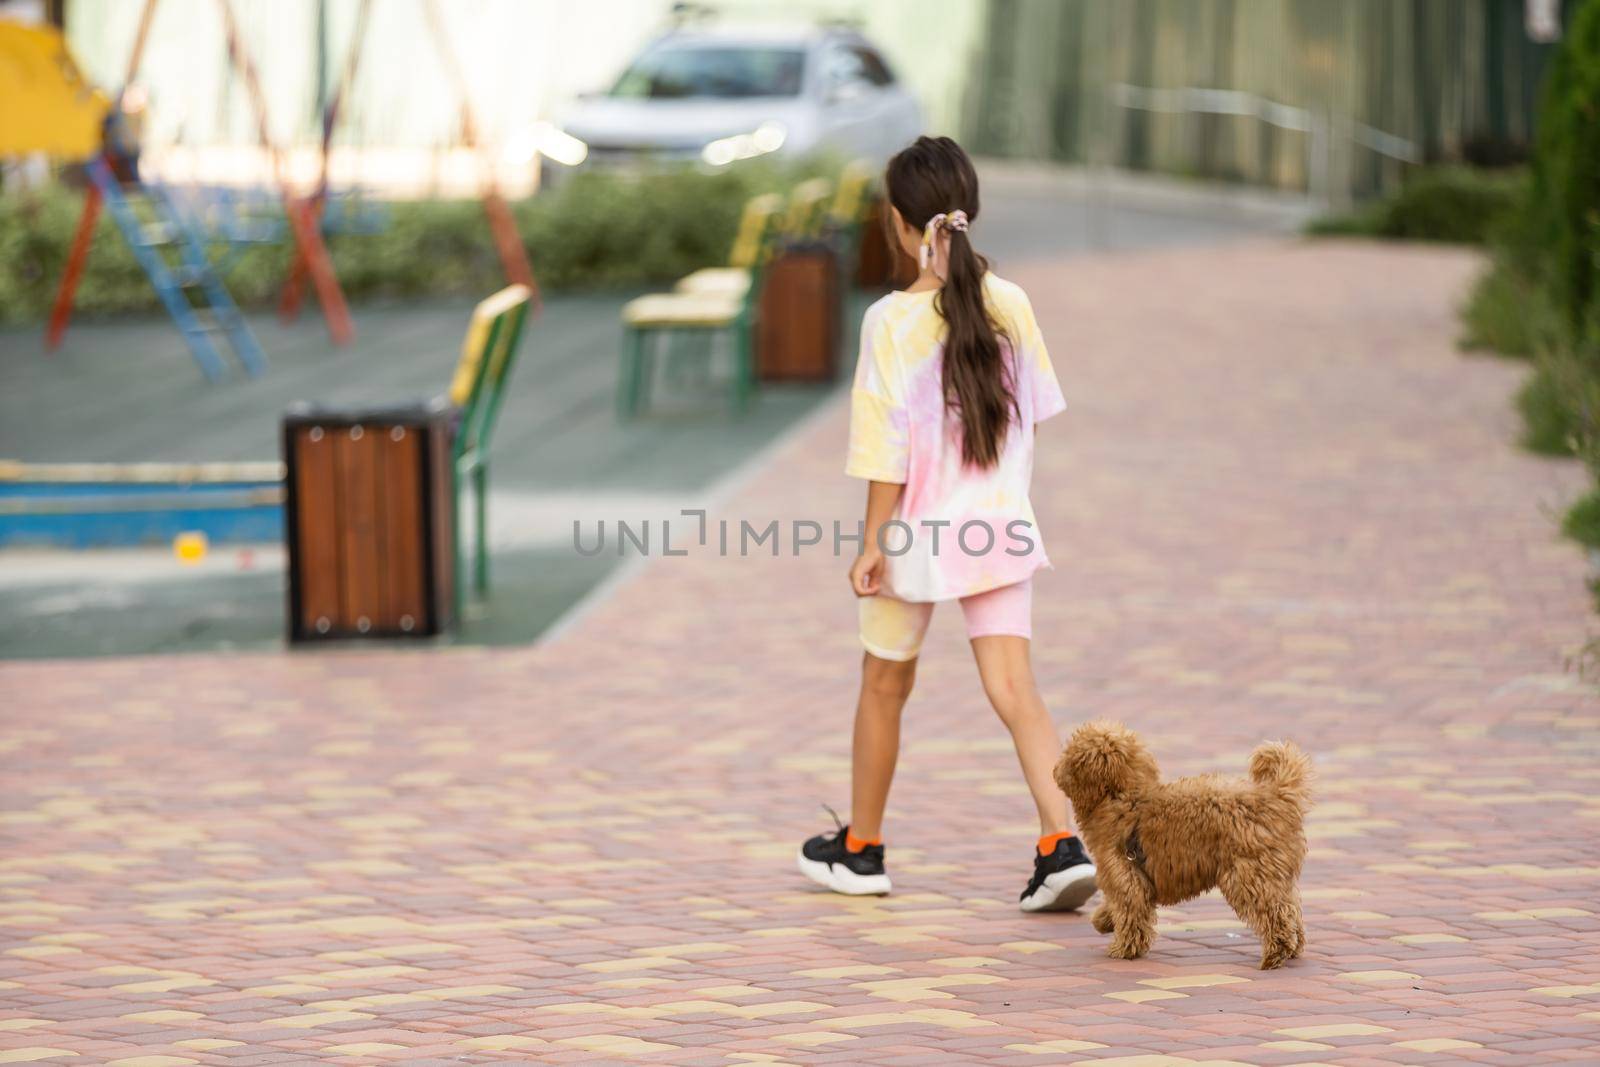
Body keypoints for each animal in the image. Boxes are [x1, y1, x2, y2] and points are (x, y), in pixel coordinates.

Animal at [1056, 723, 1305, 972]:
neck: (1126, 796)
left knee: (1275, 914)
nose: (1056, 771)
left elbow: (1131, 914)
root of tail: (1274, 797)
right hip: (1275, 875)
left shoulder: (1126, 876)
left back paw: (1275, 954)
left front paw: (1123, 949)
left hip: (1249, 875)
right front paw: (1103, 920)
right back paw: (1294, 949)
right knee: (1292, 911)